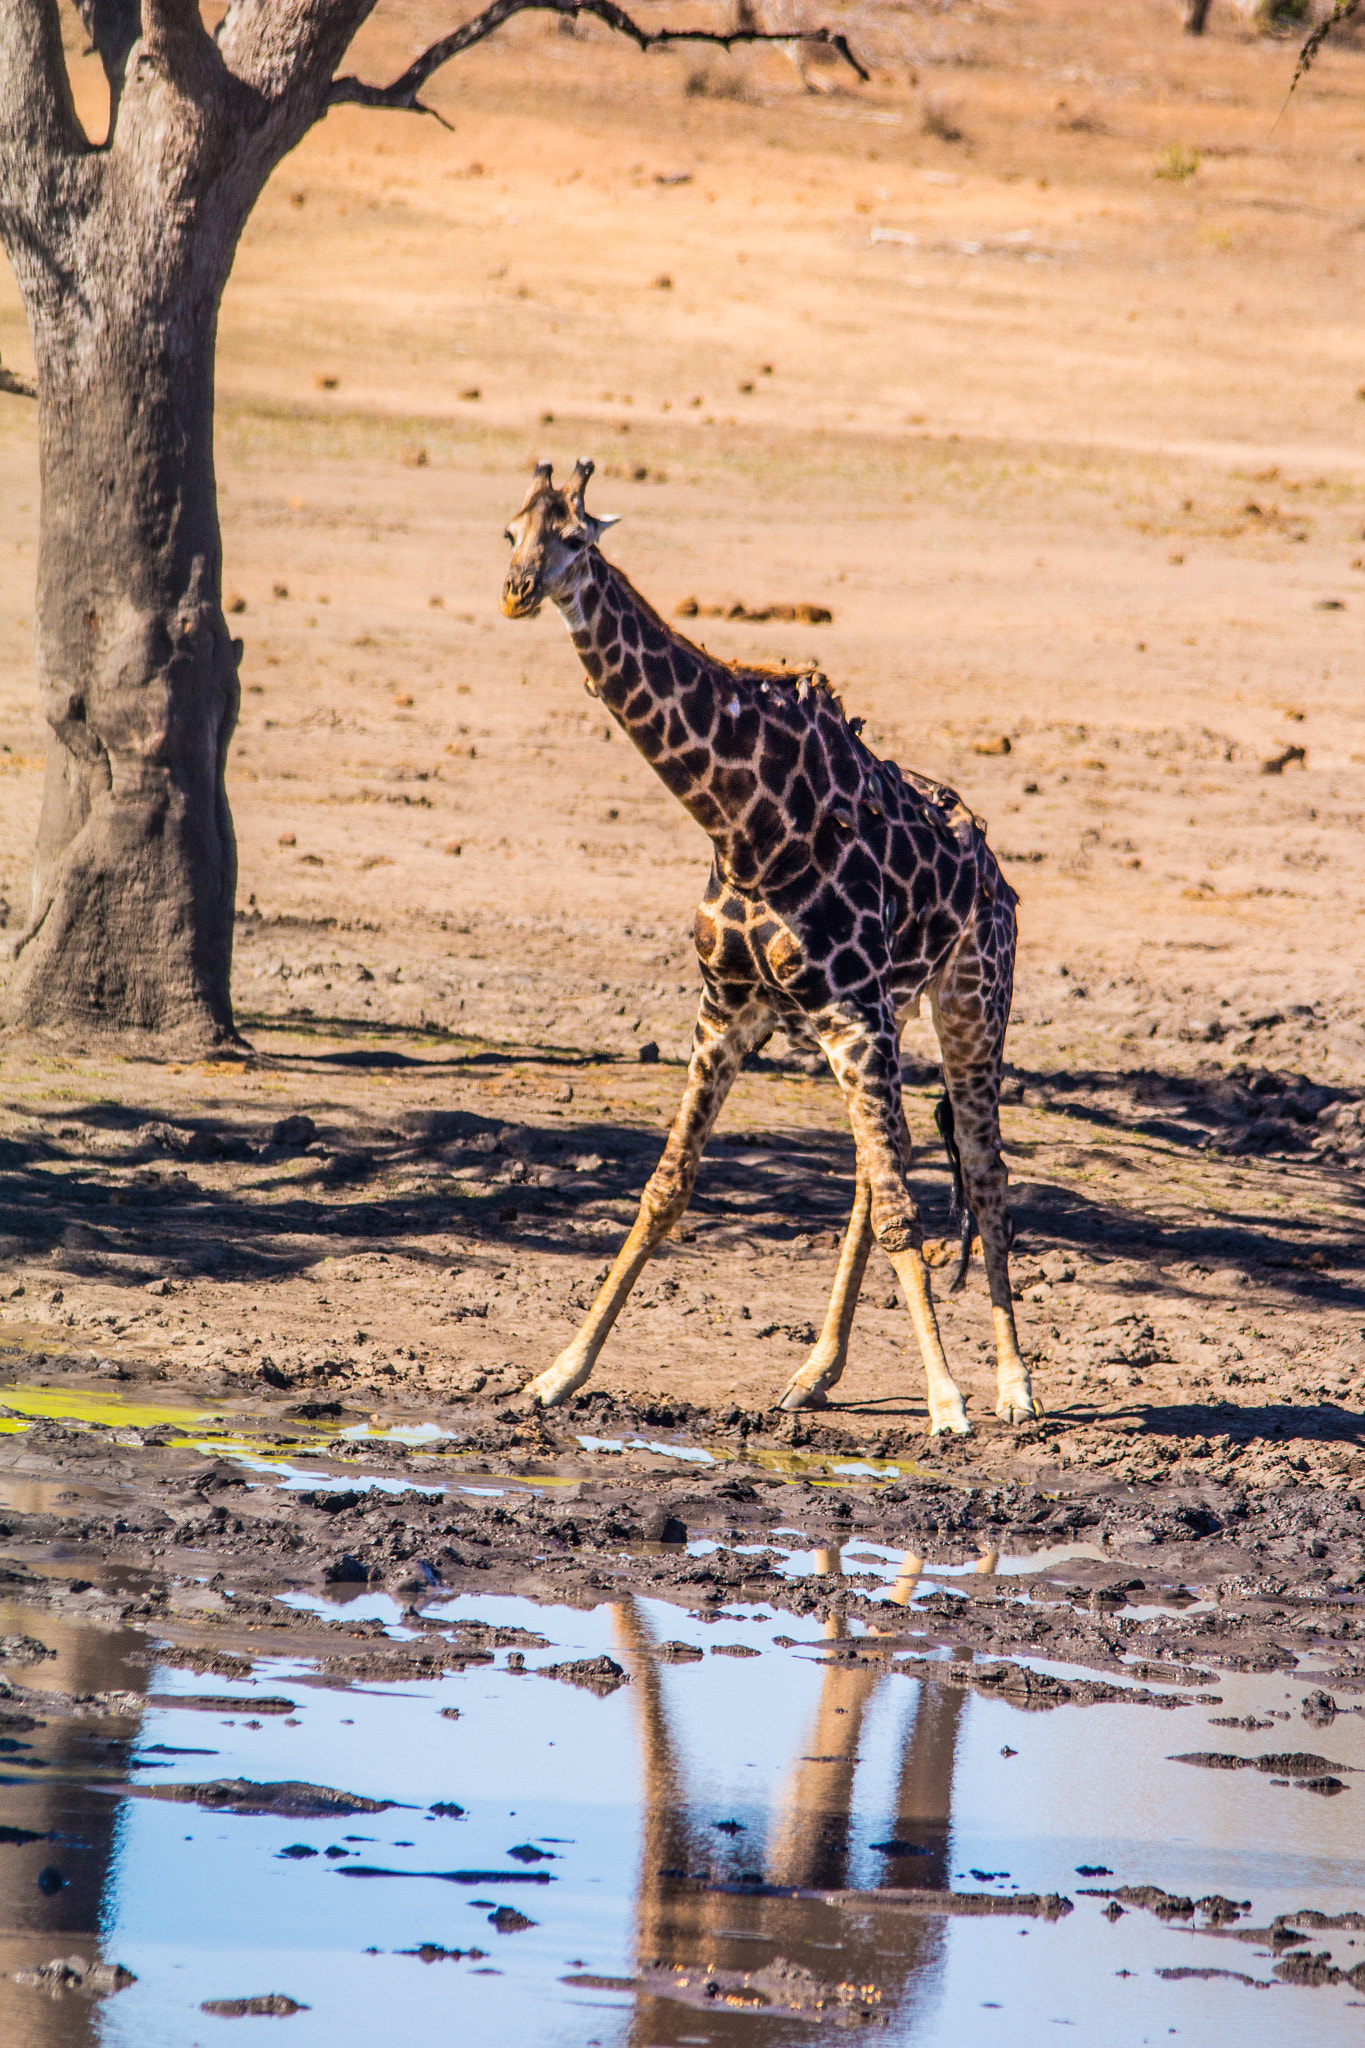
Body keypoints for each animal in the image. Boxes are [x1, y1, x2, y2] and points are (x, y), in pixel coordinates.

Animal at [500, 459, 1041, 1434]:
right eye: (508, 531)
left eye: (576, 538)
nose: (517, 591)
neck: (745, 826)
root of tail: (998, 876)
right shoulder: (729, 1011)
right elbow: (665, 1187)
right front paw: (558, 1373)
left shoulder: (852, 1016)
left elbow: (906, 1210)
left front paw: (948, 1402)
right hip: (883, 1021)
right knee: (877, 1170)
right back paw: (814, 1373)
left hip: (971, 1001)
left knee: (980, 1166)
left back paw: (1014, 1385)